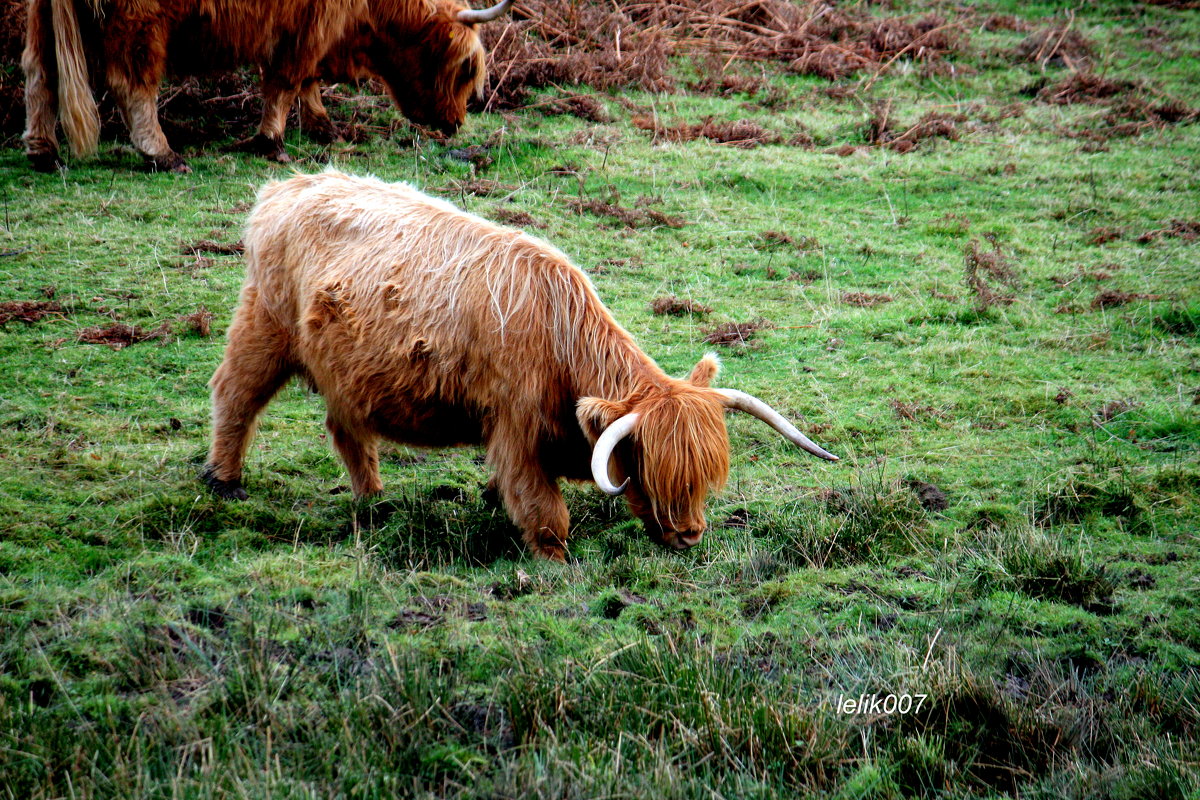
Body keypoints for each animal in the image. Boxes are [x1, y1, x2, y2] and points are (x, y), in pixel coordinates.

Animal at [22, 0, 511, 172]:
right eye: (466, 68)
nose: (455, 123)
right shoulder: (308, 24)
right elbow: (286, 80)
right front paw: (271, 142)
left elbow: (305, 80)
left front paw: (323, 129)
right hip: (140, 20)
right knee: (133, 85)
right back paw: (163, 154)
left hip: (42, 18)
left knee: (40, 74)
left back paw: (43, 152)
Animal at [201, 172, 840, 561]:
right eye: (649, 468)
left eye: (705, 476)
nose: (689, 535)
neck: (560, 343)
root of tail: (290, 185)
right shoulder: (516, 429)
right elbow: (543, 509)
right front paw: (553, 558)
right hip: (263, 326)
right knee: (235, 395)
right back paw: (225, 481)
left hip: (345, 371)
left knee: (344, 425)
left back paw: (373, 498)